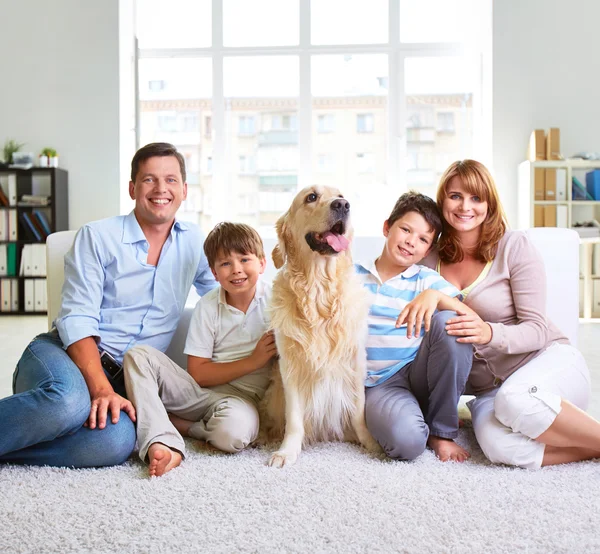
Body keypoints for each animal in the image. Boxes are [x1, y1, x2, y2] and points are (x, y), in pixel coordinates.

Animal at [262, 184, 380, 466]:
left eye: (341, 195)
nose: (343, 205)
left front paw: (370, 443)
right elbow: (294, 418)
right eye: (311, 197)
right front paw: (287, 451)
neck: (319, 292)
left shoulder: (355, 361)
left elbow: (358, 411)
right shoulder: (290, 366)